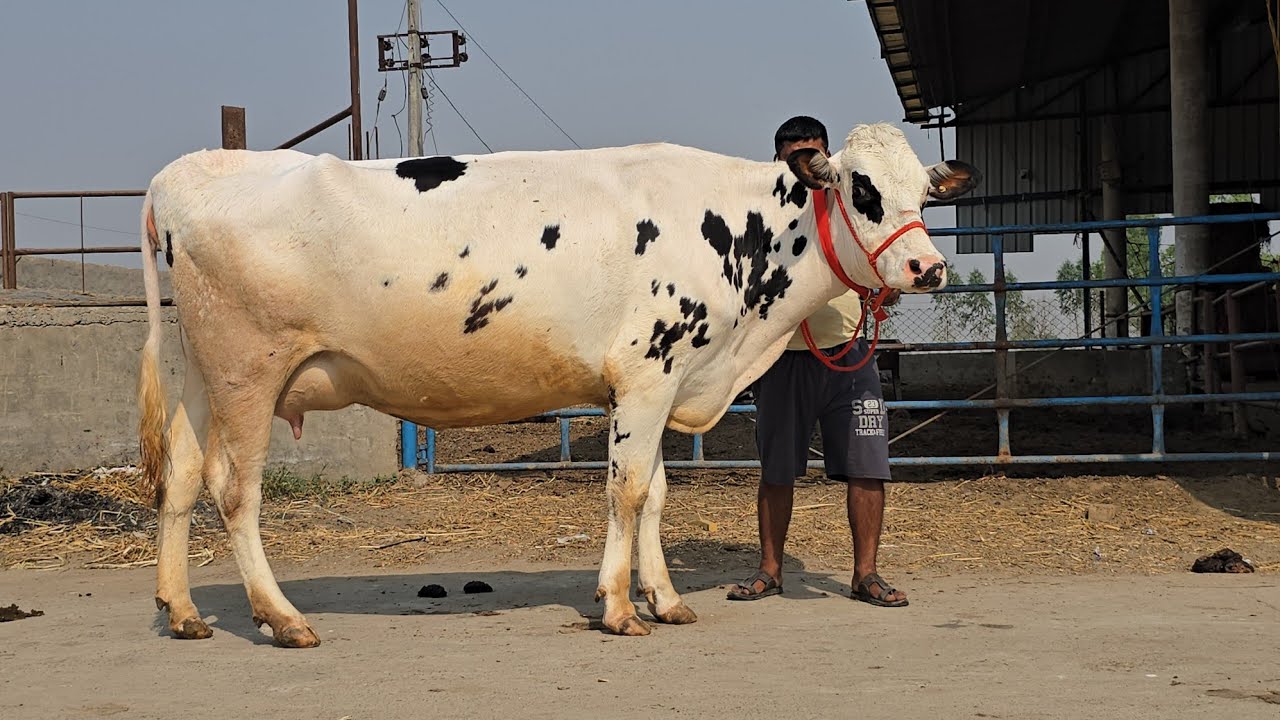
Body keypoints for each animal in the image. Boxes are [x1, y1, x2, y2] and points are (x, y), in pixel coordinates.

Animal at [136, 123, 978, 647]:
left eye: (924, 192)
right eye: (862, 187)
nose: (926, 267)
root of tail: (189, 170)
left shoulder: (660, 381)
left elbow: (655, 495)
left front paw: (665, 599)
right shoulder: (647, 369)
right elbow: (628, 492)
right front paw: (619, 607)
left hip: (200, 373)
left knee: (180, 475)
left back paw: (181, 610)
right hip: (249, 370)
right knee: (234, 489)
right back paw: (282, 618)